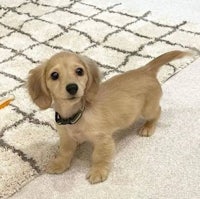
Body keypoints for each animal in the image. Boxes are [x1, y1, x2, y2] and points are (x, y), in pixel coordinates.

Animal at [27, 50, 188, 183]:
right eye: (54, 75)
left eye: (79, 71)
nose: (72, 87)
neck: (77, 115)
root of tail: (145, 70)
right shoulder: (66, 137)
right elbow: (64, 152)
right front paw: (59, 164)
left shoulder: (103, 140)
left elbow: (99, 156)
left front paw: (98, 171)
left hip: (148, 109)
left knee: (158, 111)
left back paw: (148, 127)